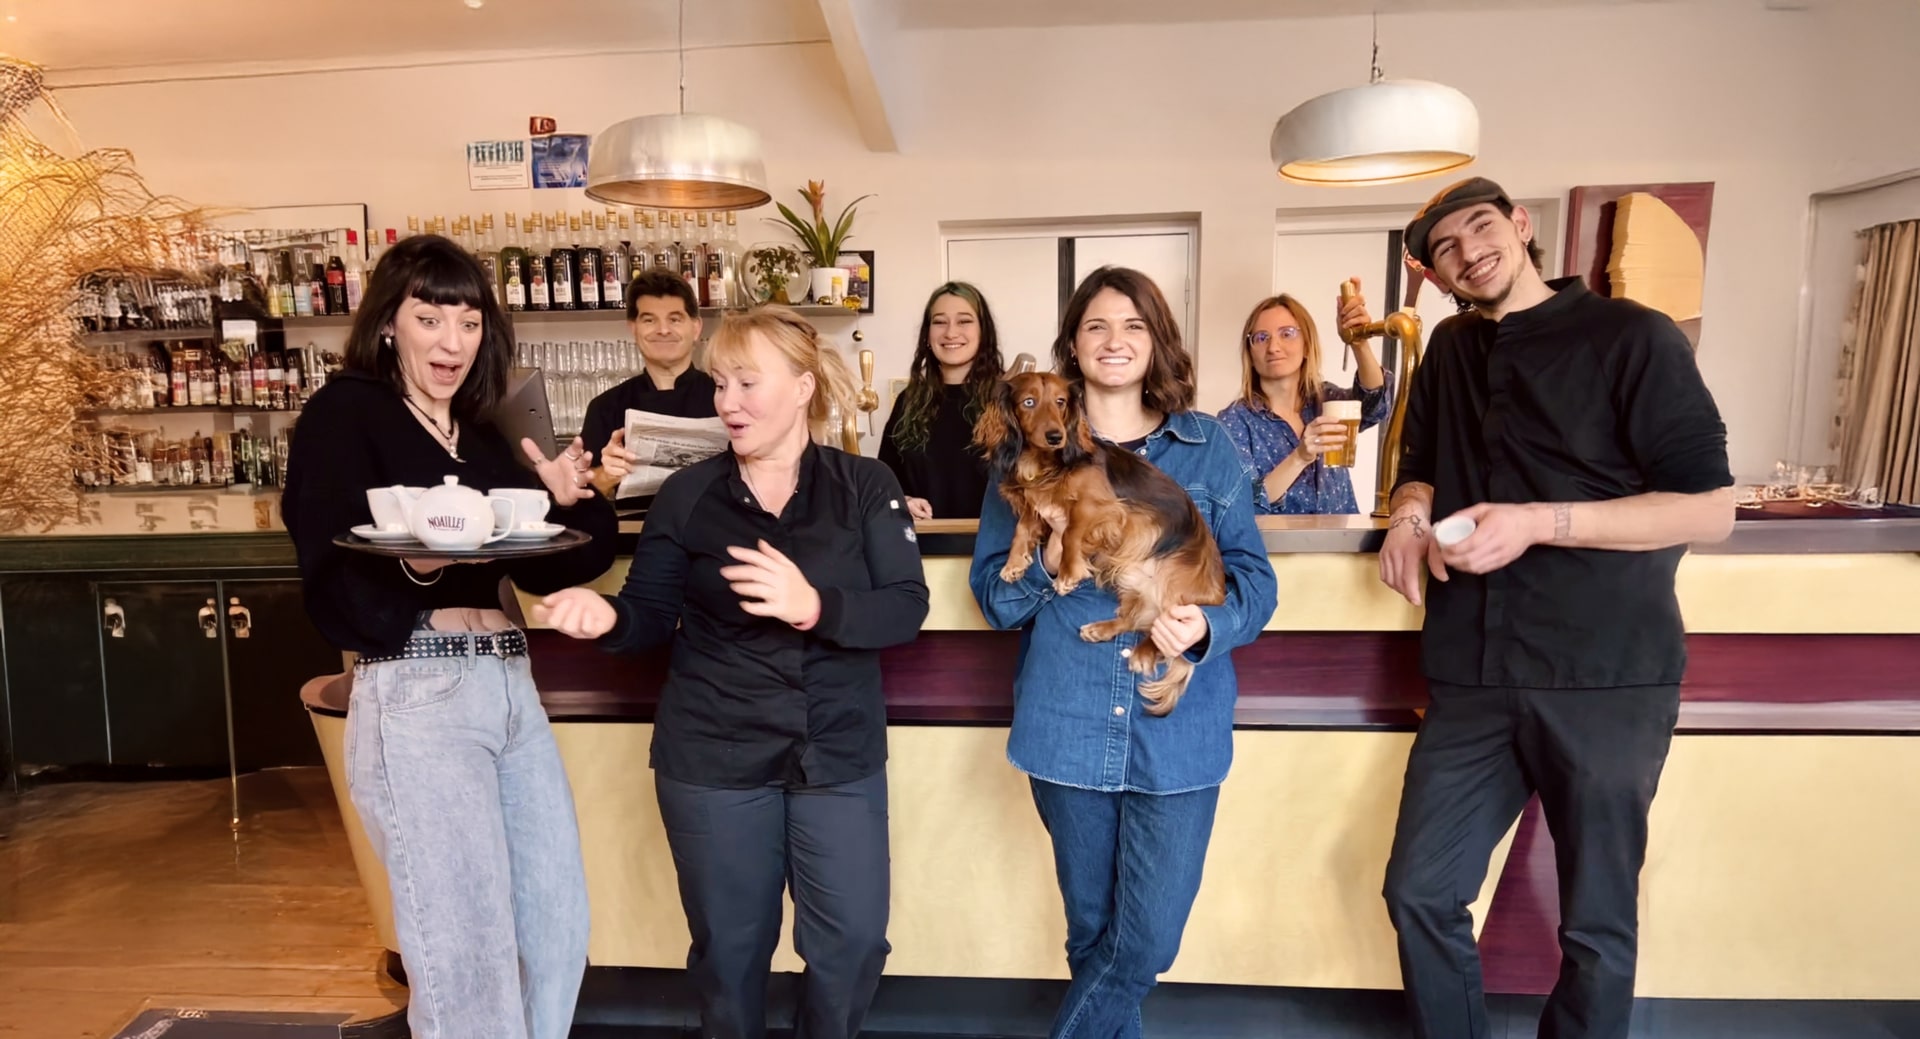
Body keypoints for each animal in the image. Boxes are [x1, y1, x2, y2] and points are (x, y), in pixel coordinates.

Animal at [975, 368, 1228, 718]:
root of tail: (1217, 591)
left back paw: (1143, 652)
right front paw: (1014, 564)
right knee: (1134, 619)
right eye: (1028, 402)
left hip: (1174, 588)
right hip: (1132, 580)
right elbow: (1023, 529)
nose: (1055, 437)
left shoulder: (1099, 505)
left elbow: (1071, 532)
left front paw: (1068, 572)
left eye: (1060, 402)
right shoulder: (1038, 504)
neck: (1043, 462)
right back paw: (1101, 629)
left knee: (1165, 631)